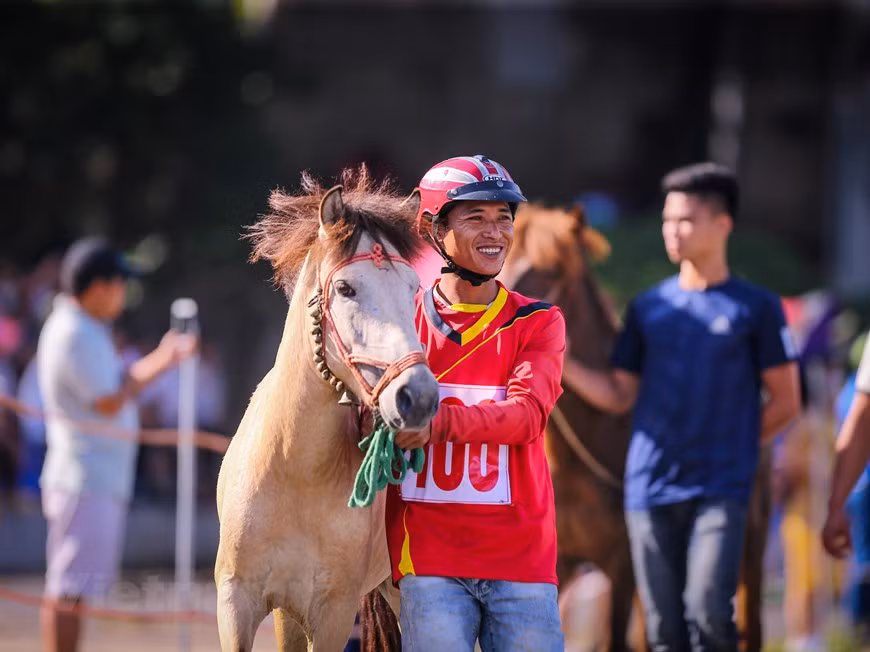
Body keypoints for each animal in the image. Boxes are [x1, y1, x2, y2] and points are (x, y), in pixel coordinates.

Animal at [214, 168, 440, 652]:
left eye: (413, 289)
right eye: (345, 287)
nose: (419, 397)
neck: (293, 466)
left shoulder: (333, 611)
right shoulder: (240, 600)